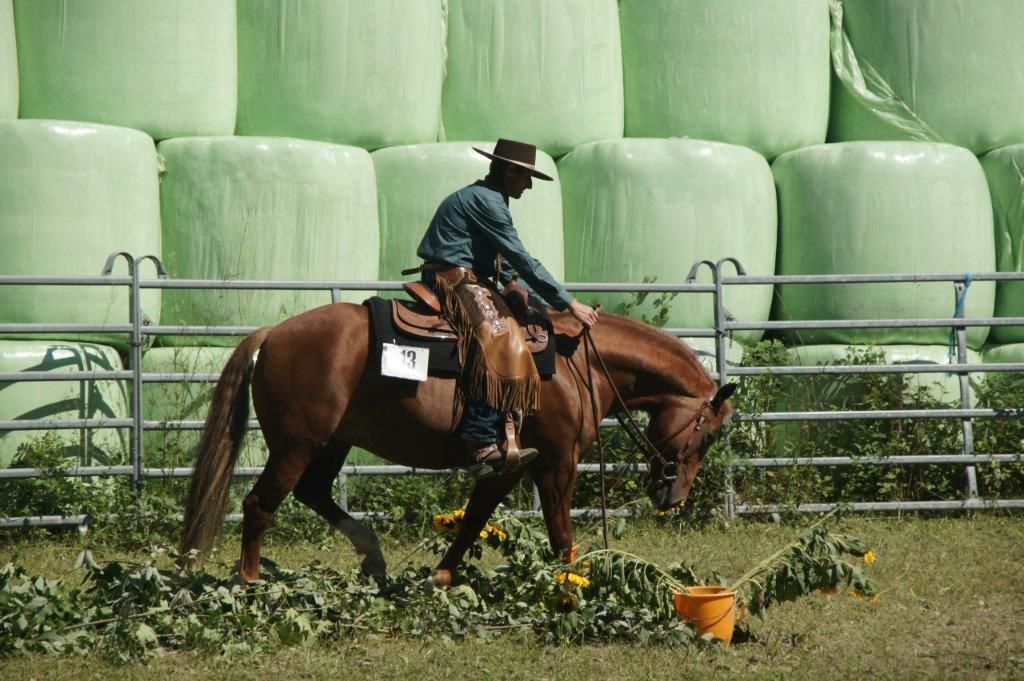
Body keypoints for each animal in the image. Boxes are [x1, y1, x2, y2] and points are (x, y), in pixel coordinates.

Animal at [178, 301, 736, 586]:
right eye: (708, 434)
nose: (673, 495)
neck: (577, 363)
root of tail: (272, 334)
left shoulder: (511, 465)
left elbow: (472, 521)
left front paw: (441, 578)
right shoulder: (557, 465)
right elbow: (561, 537)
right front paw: (572, 589)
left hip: (331, 443)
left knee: (311, 493)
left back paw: (373, 557)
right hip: (297, 444)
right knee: (259, 505)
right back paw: (251, 583)